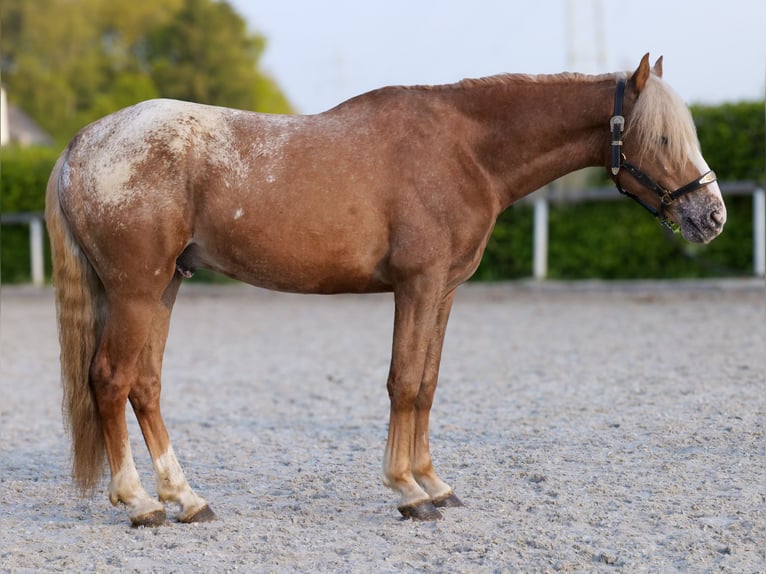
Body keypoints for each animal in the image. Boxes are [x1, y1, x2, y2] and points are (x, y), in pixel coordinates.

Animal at [45, 54, 726, 526]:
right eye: (662, 137)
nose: (712, 216)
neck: (465, 149)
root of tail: (85, 143)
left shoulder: (443, 291)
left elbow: (425, 383)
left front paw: (434, 485)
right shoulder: (417, 287)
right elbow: (403, 383)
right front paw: (407, 491)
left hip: (165, 288)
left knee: (145, 385)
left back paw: (186, 499)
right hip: (136, 291)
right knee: (110, 380)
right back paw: (141, 504)